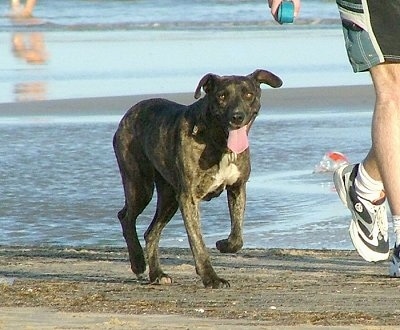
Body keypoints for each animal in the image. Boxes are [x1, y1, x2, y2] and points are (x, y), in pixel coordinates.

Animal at [112, 69, 282, 288]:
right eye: (222, 96)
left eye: (248, 95)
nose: (237, 116)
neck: (219, 141)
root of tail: (129, 113)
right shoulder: (189, 198)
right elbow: (197, 241)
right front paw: (211, 278)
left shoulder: (238, 187)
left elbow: (237, 235)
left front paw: (224, 244)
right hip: (140, 184)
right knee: (126, 217)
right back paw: (138, 262)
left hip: (169, 197)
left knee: (151, 232)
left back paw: (157, 274)